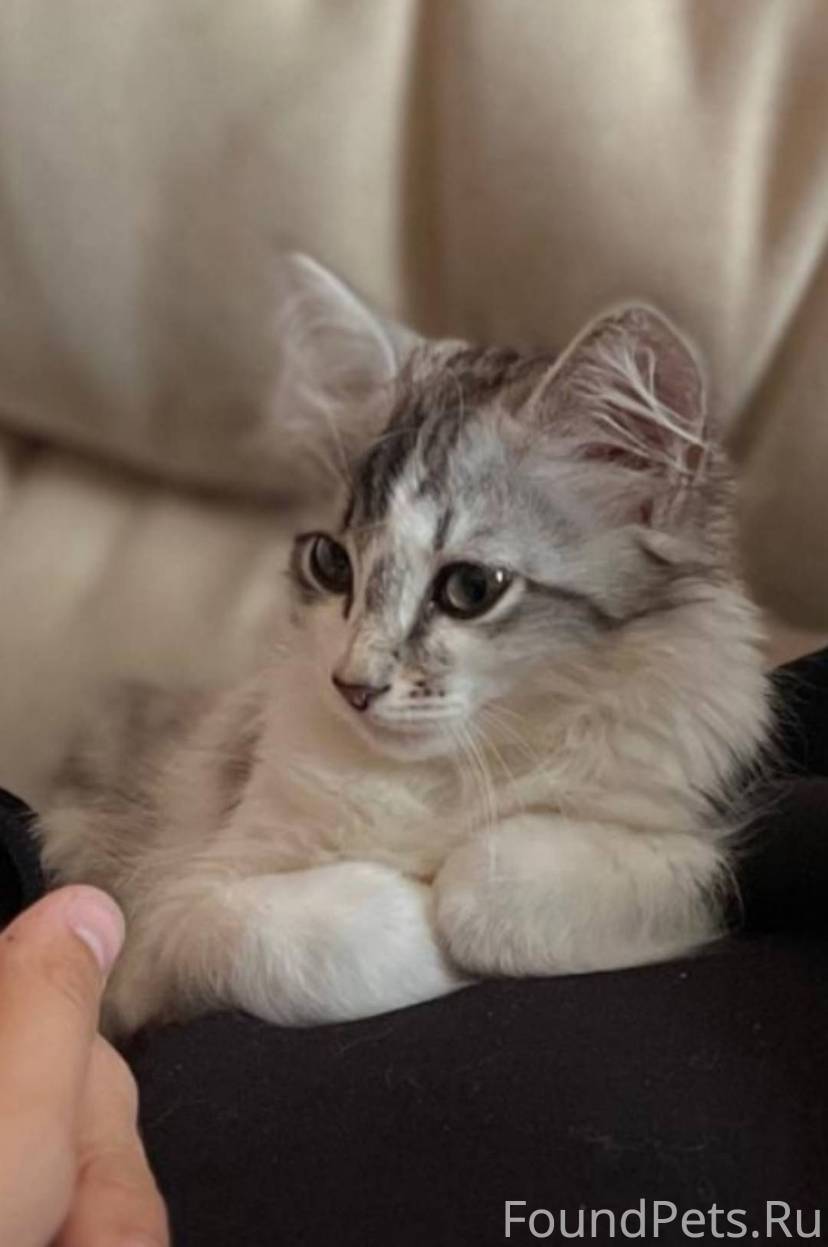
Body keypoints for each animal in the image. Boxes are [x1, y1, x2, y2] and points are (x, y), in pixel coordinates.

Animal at [38, 254, 770, 1034]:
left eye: (471, 588)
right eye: (330, 563)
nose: (352, 686)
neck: (439, 778)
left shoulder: (691, 847)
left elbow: (490, 883)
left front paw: (450, 896)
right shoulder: (168, 910)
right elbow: (298, 938)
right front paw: (415, 917)